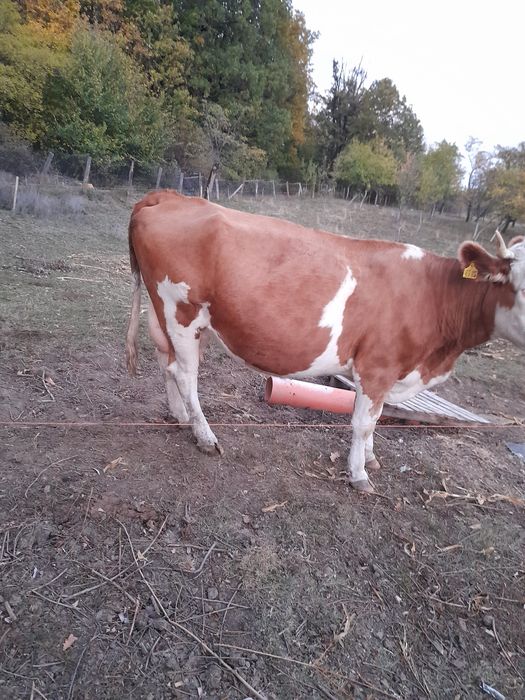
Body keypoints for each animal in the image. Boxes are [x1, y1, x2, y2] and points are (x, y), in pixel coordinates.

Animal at [125, 190, 525, 492]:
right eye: (519, 285)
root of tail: (170, 196)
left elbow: (375, 418)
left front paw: (370, 458)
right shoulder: (377, 366)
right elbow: (363, 422)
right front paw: (359, 474)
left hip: (184, 320)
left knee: (167, 363)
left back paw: (181, 418)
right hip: (181, 312)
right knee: (185, 374)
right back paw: (205, 436)